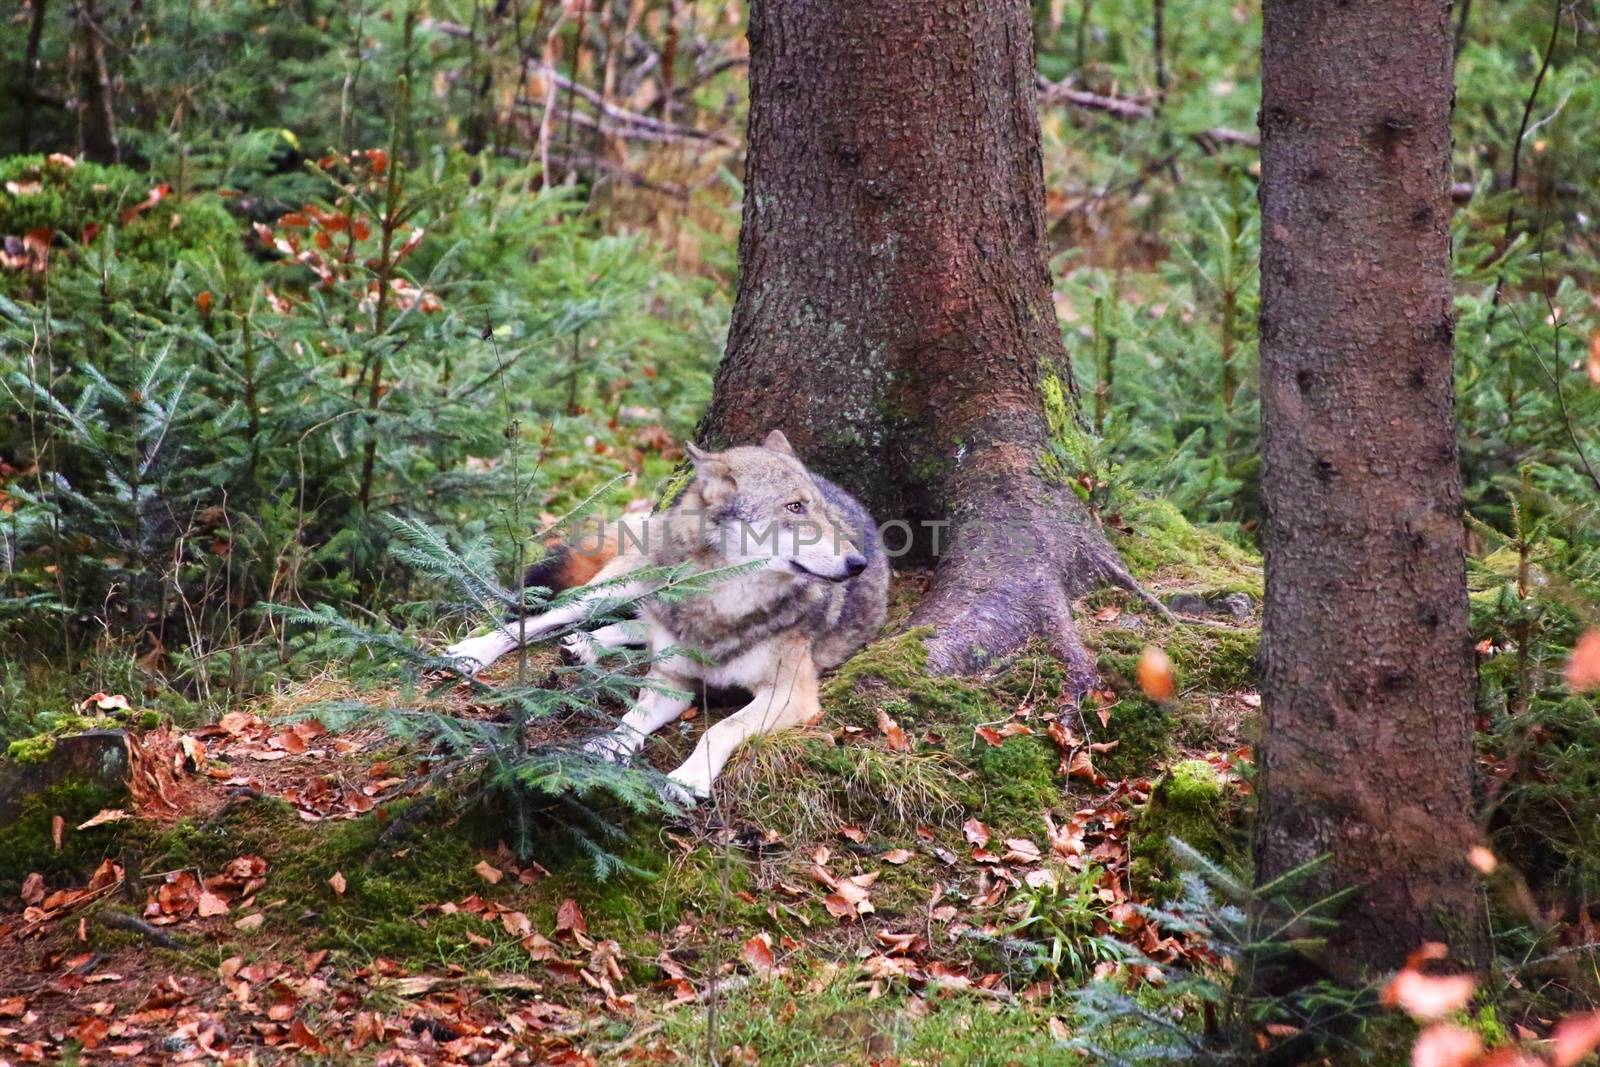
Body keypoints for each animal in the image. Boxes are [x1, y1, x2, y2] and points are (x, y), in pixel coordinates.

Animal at [444, 428, 896, 806]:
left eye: (822, 513)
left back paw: (586, 647)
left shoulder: (791, 694)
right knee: (548, 616)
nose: (858, 563)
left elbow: (720, 728)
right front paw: (611, 745)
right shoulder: (675, 680)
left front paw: (687, 779)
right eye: (795, 506)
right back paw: (474, 652)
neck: (723, 603)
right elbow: (634, 717)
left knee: (635, 627)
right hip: (615, 590)